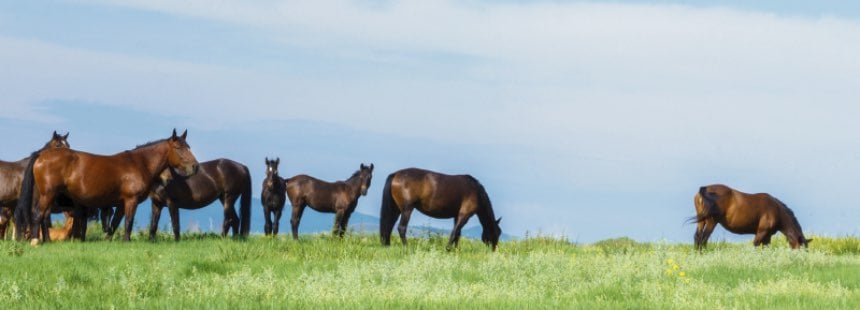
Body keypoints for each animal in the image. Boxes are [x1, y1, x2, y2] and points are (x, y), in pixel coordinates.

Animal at [17, 129, 200, 245]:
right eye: (178, 148)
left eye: (189, 147)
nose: (195, 166)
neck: (138, 163)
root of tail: (41, 155)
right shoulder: (130, 200)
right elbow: (128, 222)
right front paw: (126, 241)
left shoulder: (120, 204)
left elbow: (114, 223)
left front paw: (108, 241)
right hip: (47, 194)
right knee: (37, 215)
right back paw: (35, 241)